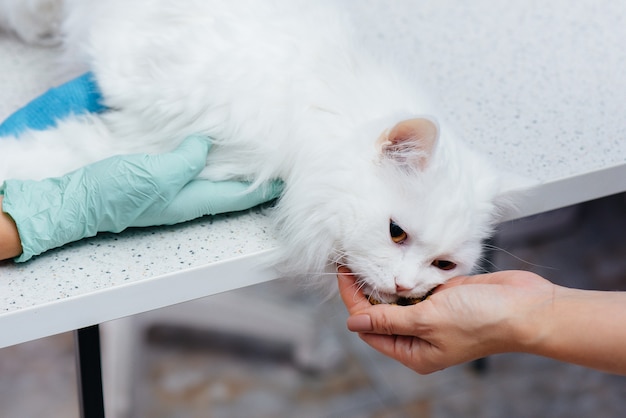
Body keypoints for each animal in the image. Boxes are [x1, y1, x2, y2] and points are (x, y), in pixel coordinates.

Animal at [0, 0, 516, 302]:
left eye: (444, 266)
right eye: (396, 233)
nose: (406, 287)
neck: (319, 98)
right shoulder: (148, 119)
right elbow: (60, 153)